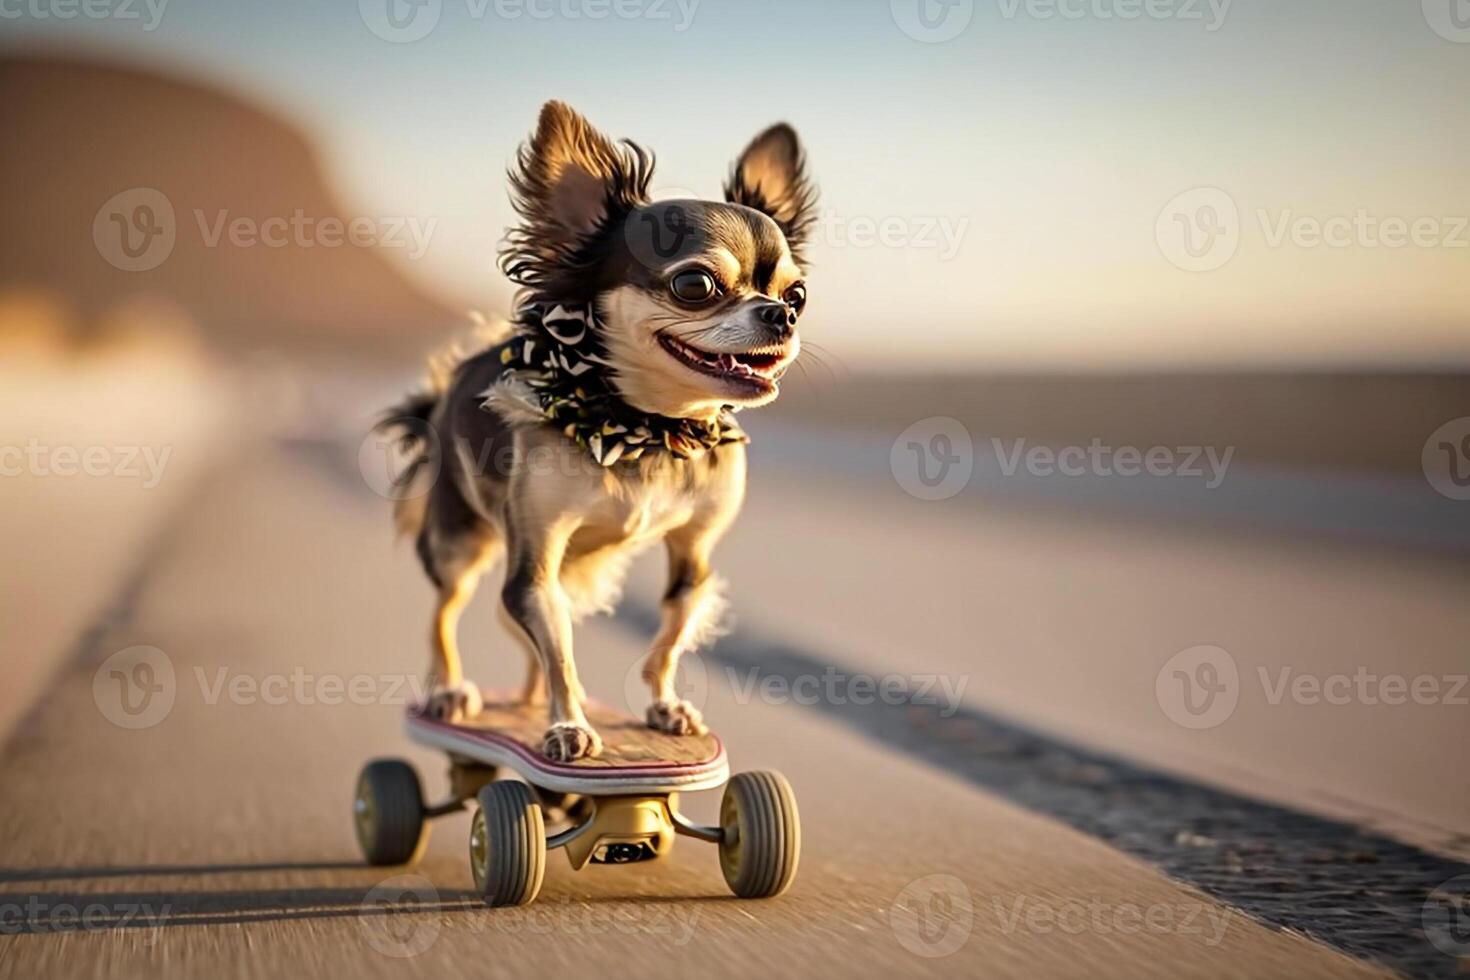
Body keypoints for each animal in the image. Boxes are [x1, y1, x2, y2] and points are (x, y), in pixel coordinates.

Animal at [379, 99, 817, 764]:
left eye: (798, 294)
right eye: (695, 285)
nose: (781, 314)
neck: (647, 426)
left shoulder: (693, 553)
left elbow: (670, 632)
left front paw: (663, 705)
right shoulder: (534, 564)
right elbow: (561, 653)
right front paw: (568, 725)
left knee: (519, 630)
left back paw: (528, 701)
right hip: (459, 545)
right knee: (445, 616)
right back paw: (453, 691)